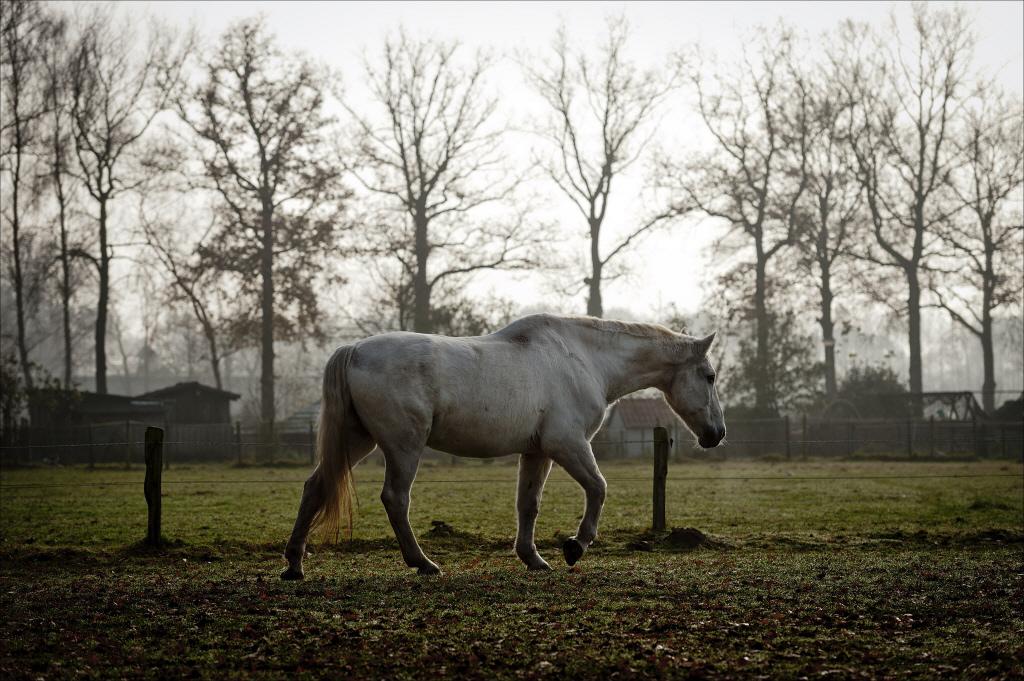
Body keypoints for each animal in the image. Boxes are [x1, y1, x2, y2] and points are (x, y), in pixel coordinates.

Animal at [281, 313, 726, 579]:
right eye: (709, 376)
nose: (717, 434)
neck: (582, 359)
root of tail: (354, 350)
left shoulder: (537, 452)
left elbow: (528, 504)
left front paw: (533, 558)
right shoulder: (567, 445)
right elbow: (598, 489)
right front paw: (575, 546)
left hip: (358, 440)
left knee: (315, 487)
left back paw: (294, 566)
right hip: (403, 446)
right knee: (395, 498)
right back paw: (423, 563)